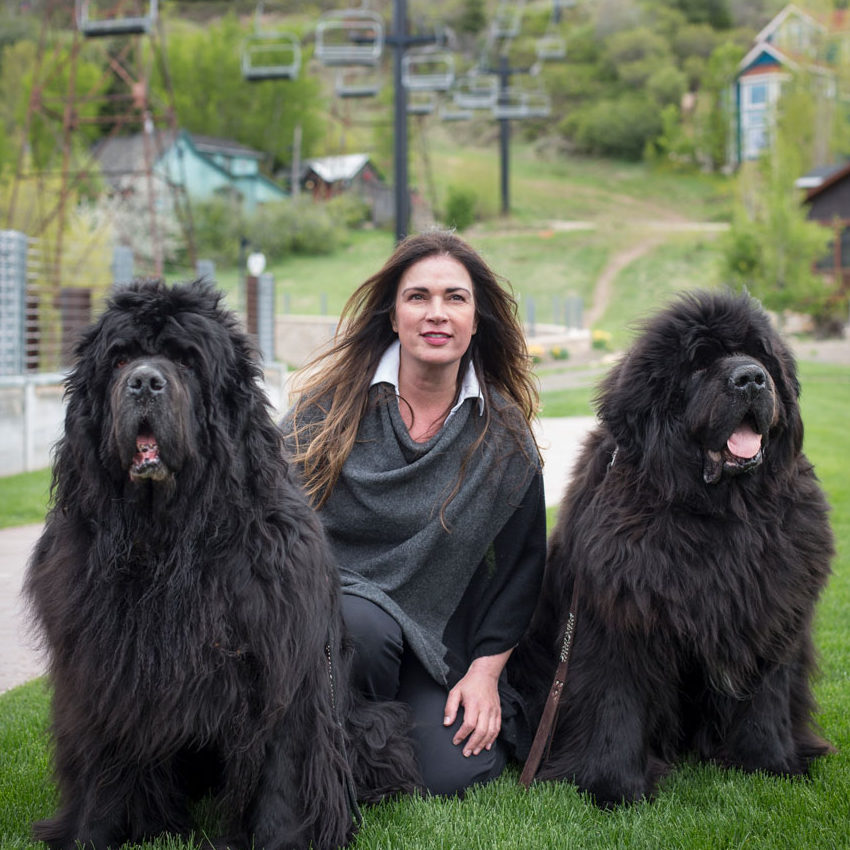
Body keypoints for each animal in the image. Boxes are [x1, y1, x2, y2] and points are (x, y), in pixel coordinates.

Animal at [27, 280, 420, 848]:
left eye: (187, 361)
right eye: (119, 358)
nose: (144, 382)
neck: (170, 539)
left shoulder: (283, 664)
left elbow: (284, 771)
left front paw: (285, 839)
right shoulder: (103, 669)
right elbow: (100, 767)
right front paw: (88, 834)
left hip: (367, 725)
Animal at [512, 292, 832, 808]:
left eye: (761, 356)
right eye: (699, 363)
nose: (751, 378)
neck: (721, 513)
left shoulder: (770, 613)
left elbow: (769, 697)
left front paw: (772, 764)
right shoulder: (616, 618)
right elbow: (615, 701)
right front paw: (612, 787)